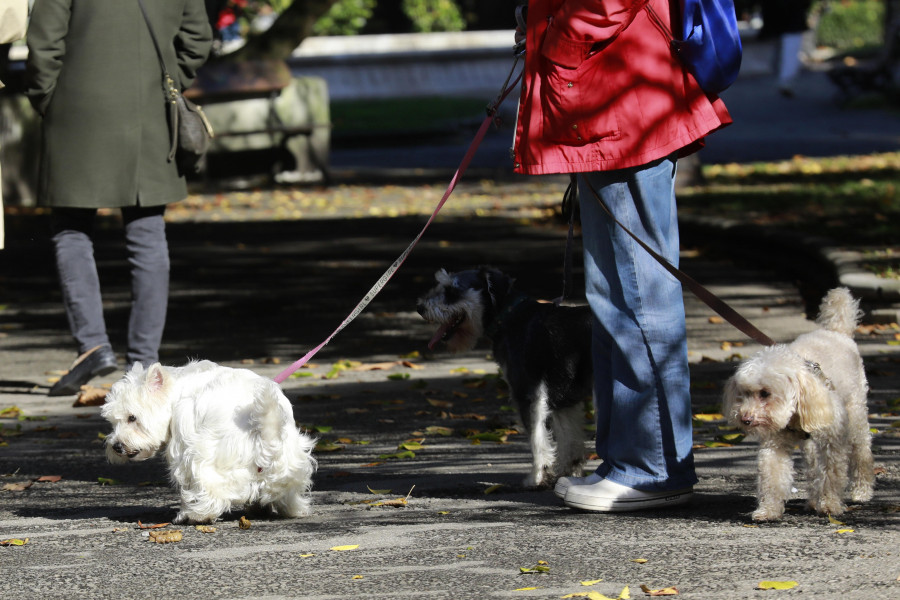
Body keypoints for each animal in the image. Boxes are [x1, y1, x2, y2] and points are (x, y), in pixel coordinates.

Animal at [102, 358, 318, 524]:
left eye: (132, 418)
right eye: (112, 421)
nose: (117, 446)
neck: (178, 390)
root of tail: (263, 434)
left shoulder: (183, 444)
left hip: (204, 456)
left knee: (212, 492)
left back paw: (194, 515)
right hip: (290, 462)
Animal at [720, 288, 876, 520]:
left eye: (765, 393)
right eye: (744, 393)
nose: (745, 419)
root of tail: (836, 331)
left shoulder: (832, 441)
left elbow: (832, 474)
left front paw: (829, 504)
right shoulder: (774, 443)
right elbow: (772, 474)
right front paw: (769, 509)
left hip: (856, 413)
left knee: (861, 451)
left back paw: (862, 491)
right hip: (811, 445)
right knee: (813, 468)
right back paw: (812, 500)